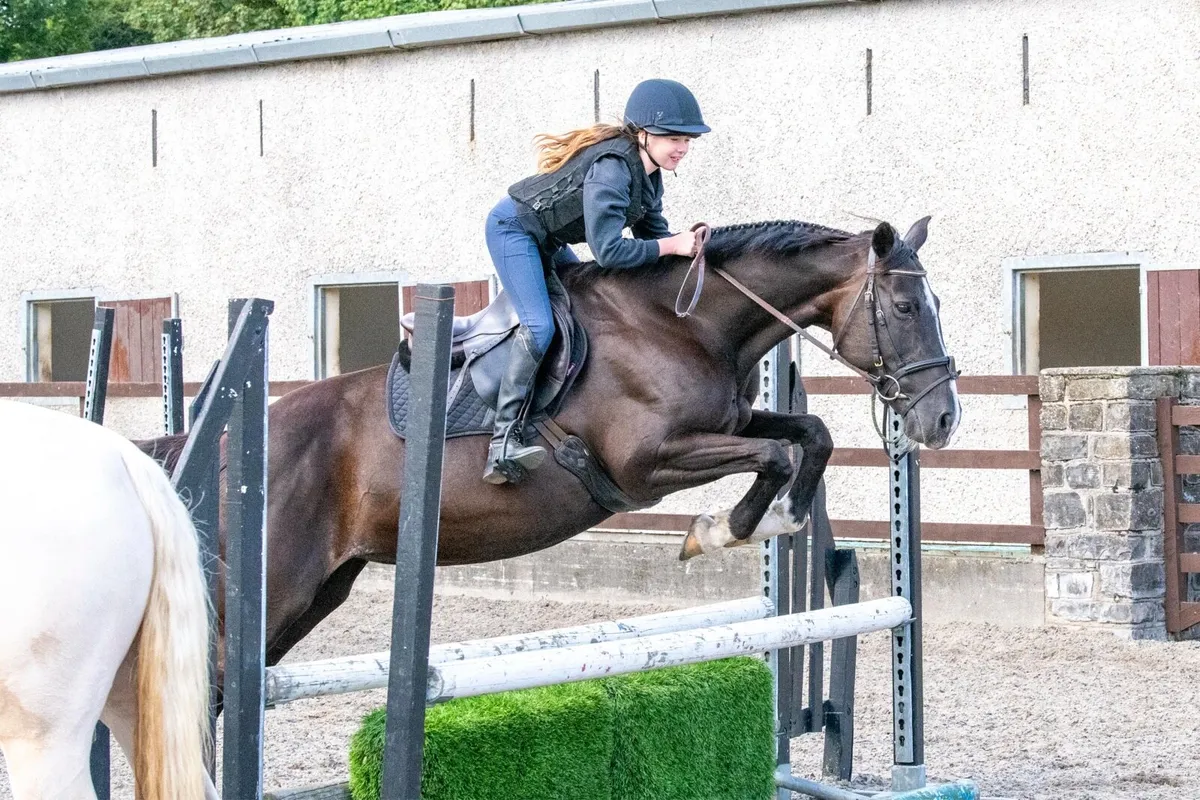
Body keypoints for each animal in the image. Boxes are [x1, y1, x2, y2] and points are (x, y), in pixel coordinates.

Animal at [138, 216, 960, 677]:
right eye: (904, 306)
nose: (942, 420)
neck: (685, 321)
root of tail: (209, 450)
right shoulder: (647, 464)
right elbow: (775, 457)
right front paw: (718, 530)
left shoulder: (728, 422)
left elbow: (808, 437)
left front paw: (773, 520)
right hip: (264, 585)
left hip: (317, 592)